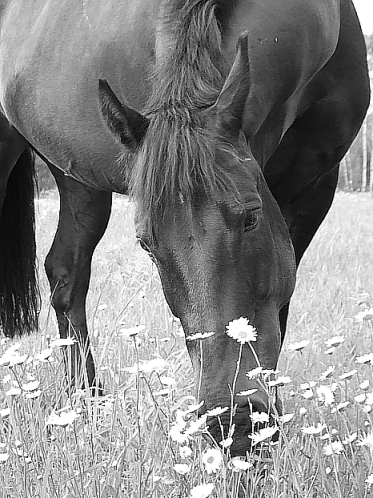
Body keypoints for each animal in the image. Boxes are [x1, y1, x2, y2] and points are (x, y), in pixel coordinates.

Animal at [0, 0, 368, 456]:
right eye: (146, 244)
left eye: (250, 217)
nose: (231, 422)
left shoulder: (317, 184)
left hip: (77, 178)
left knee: (66, 273)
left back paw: (87, 404)